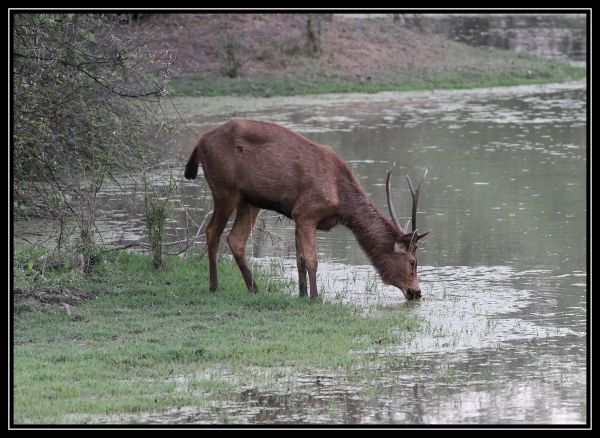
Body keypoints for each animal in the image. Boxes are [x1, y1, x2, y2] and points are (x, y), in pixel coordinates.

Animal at [185, 118, 428, 300]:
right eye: (413, 262)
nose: (417, 292)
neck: (341, 201)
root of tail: (199, 142)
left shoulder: (297, 215)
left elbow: (300, 259)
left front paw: (301, 294)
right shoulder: (307, 212)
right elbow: (312, 259)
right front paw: (315, 297)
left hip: (250, 201)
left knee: (236, 239)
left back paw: (253, 288)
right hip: (225, 190)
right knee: (212, 231)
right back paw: (214, 286)